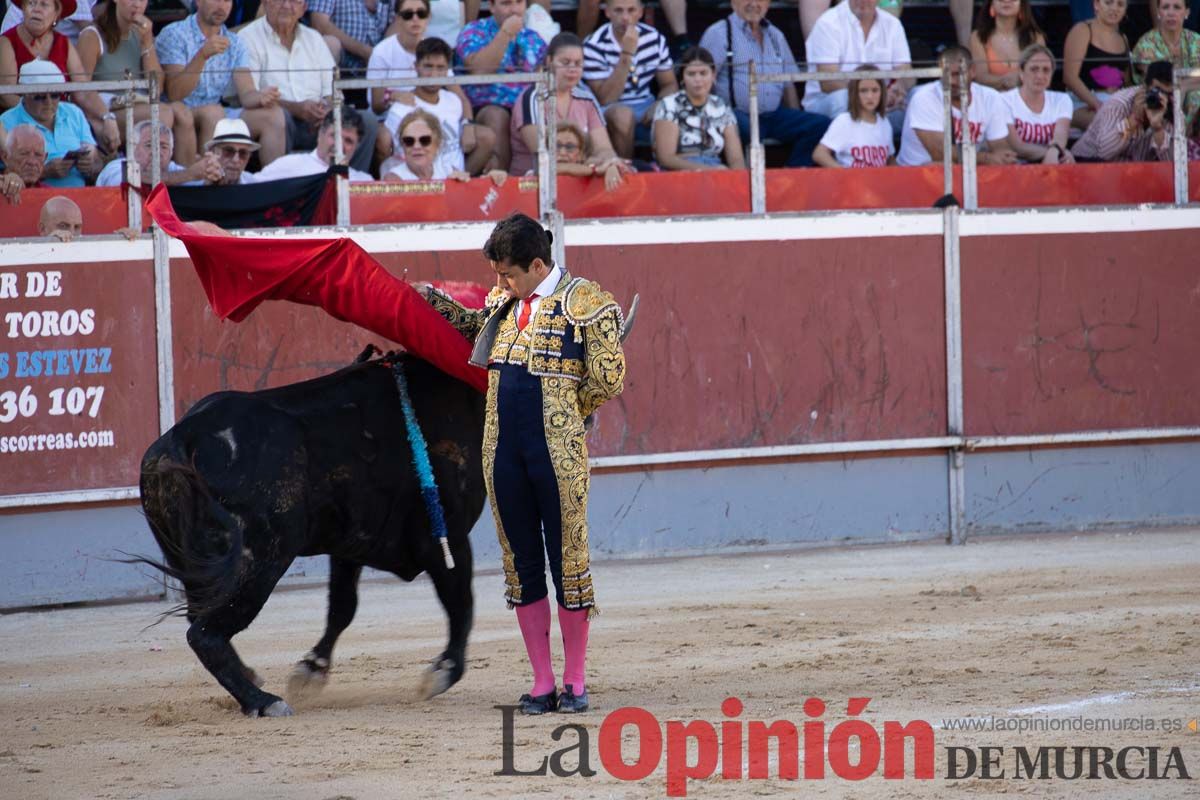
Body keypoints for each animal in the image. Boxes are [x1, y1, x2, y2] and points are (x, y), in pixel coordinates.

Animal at [132, 352, 482, 719]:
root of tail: (181, 439)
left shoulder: (352, 542)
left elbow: (343, 606)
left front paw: (312, 669)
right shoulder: (446, 536)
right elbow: (461, 602)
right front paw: (444, 670)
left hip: (196, 563)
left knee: (201, 617)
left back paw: (250, 677)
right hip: (261, 557)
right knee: (204, 632)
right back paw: (263, 701)